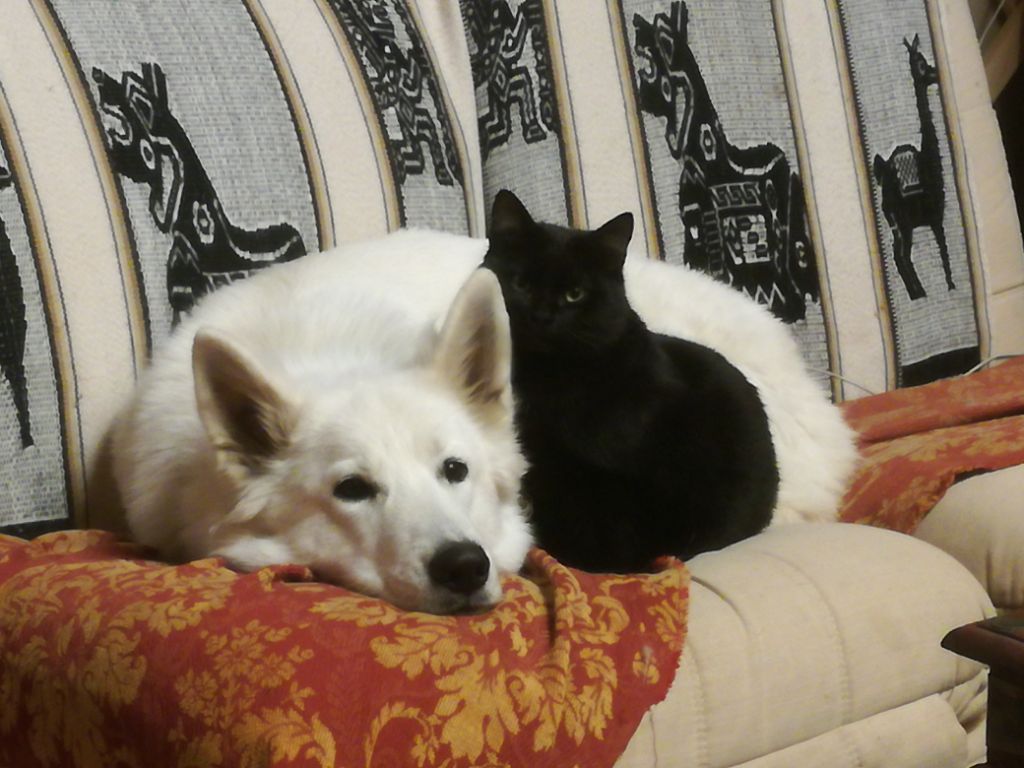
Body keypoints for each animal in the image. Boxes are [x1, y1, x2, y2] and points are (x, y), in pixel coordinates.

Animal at [482, 190, 779, 572]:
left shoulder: (617, 480)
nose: (542, 316)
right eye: (520, 284)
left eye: (575, 294)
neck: (546, 377)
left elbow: (607, 532)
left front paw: (577, 560)